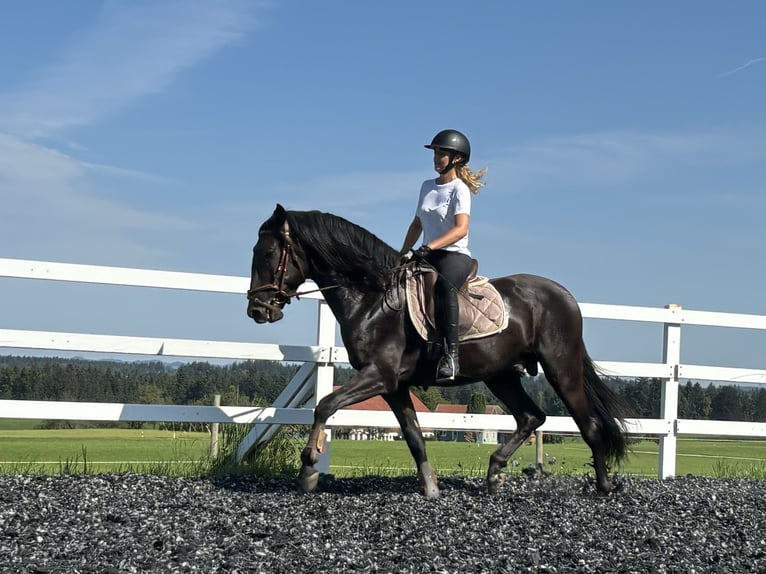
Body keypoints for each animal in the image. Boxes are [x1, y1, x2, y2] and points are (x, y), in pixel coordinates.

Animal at [249, 207, 632, 500]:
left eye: (267, 254)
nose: (257, 310)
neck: (374, 299)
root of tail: (565, 296)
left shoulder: (379, 374)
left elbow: (325, 405)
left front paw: (309, 467)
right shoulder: (394, 386)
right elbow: (414, 436)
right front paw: (431, 488)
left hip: (561, 368)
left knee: (588, 424)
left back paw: (603, 486)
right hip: (501, 375)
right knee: (530, 417)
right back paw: (494, 474)